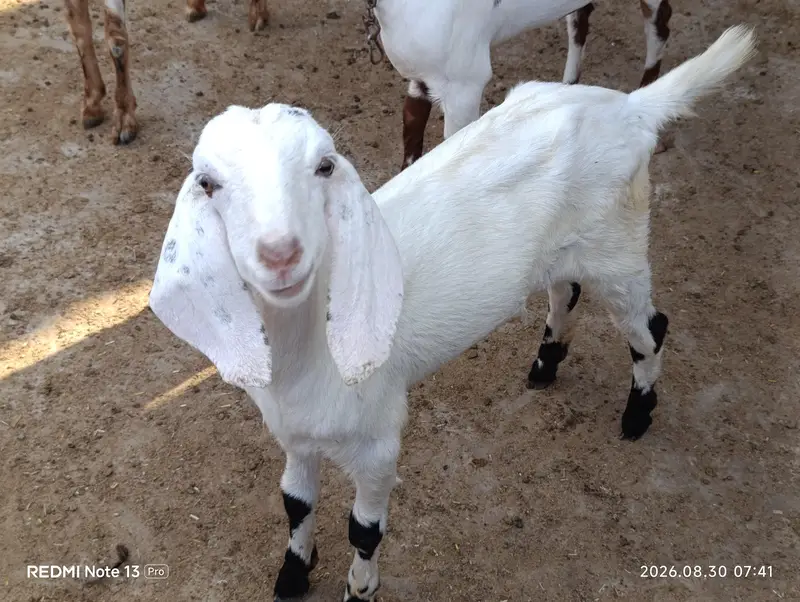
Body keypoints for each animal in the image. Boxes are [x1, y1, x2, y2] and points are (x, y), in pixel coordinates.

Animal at [149, 26, 755, 601]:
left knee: (649, 328)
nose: (280, 252)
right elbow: (295, 503)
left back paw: (637, 415)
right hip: (565, 248)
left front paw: (359, 589)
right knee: (566, 292)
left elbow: (364, 529)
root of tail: (632, 107)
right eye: (207, 183)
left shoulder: (380, 436)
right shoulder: (295, 436)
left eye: (324, 166)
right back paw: (546, 364)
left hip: (619, 247)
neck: (308, 353)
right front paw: (292, 576)